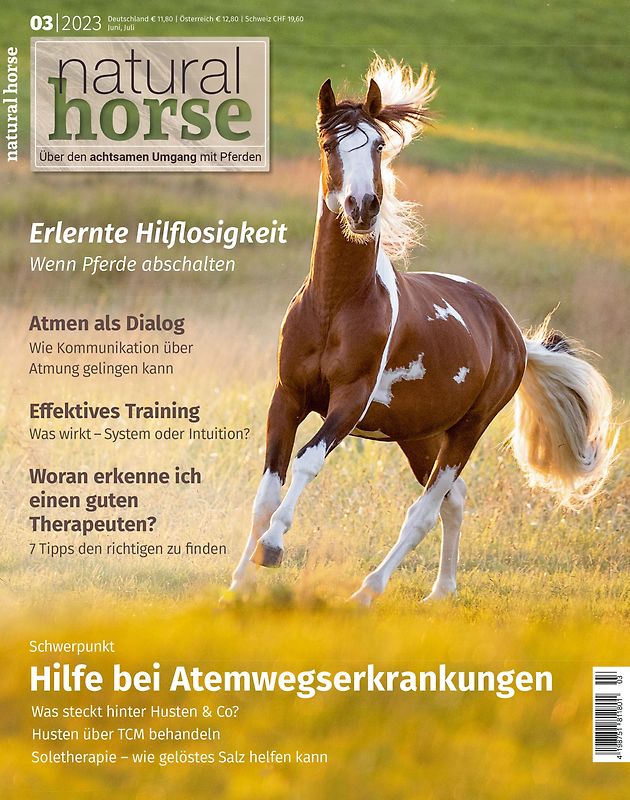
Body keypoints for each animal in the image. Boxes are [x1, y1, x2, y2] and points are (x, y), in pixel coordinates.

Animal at [226, 57, 616, 606]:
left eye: (377, 145)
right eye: (328, 144)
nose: (363, 207)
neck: (335, 306)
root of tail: (513, 334)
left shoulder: (349, 402)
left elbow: (305, 463)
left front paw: (274, 548)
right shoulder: (287, 397)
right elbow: (265, 492)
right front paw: (238, 584)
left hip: (468, 429)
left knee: (425, 511)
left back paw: (367, 593)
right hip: (419, 435)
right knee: (454, 500)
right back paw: (441, 592)